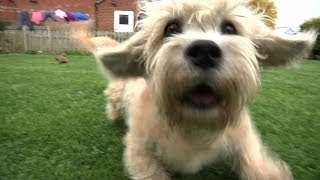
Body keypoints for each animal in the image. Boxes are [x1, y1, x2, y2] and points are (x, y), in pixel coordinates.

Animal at [89, 0, 316, 179]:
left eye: (230, 28)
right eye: (171, 28)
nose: (204, 51)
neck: (194, 126)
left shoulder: (242, 135)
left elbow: (253, 159)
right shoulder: (138, 146)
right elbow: (149, 169)